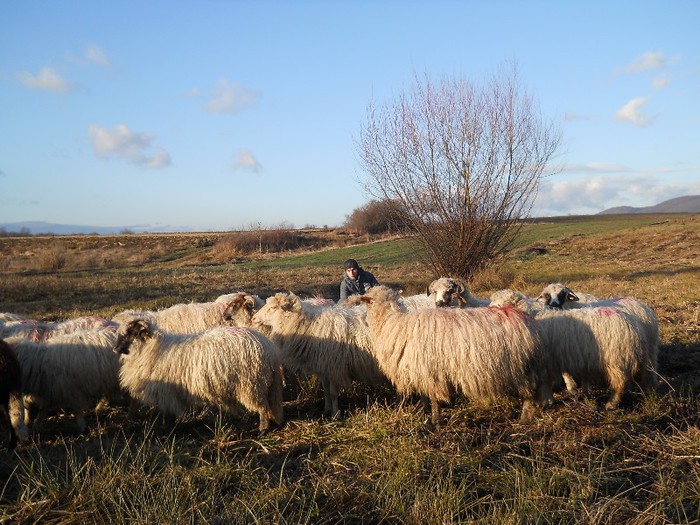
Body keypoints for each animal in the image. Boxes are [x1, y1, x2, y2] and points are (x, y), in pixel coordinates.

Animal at [113, 320, 284, 430]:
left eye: (133, 333)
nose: (115, 348)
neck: (150, 349)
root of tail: (269, 348)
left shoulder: (167, 392)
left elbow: (169, 413)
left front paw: (169, 429)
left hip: (252, 385)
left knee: (263, 408)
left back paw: (262, 429)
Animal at [250, 290, 388, 418]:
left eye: (273, 307)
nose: (254, 318)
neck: (309, 325)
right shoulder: (323, 367)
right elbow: (326, 390)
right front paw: (327, 409)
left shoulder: (333, 367)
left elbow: (333, 393)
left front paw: (335, 414)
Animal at [358, 284, 556, 424]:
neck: (391, 321)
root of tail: (530, 322)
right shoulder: (428, 371)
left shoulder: (429, 371)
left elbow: (434, 399)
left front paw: (435, 421)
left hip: (521, 366)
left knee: (529, 395)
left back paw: (524, 420)